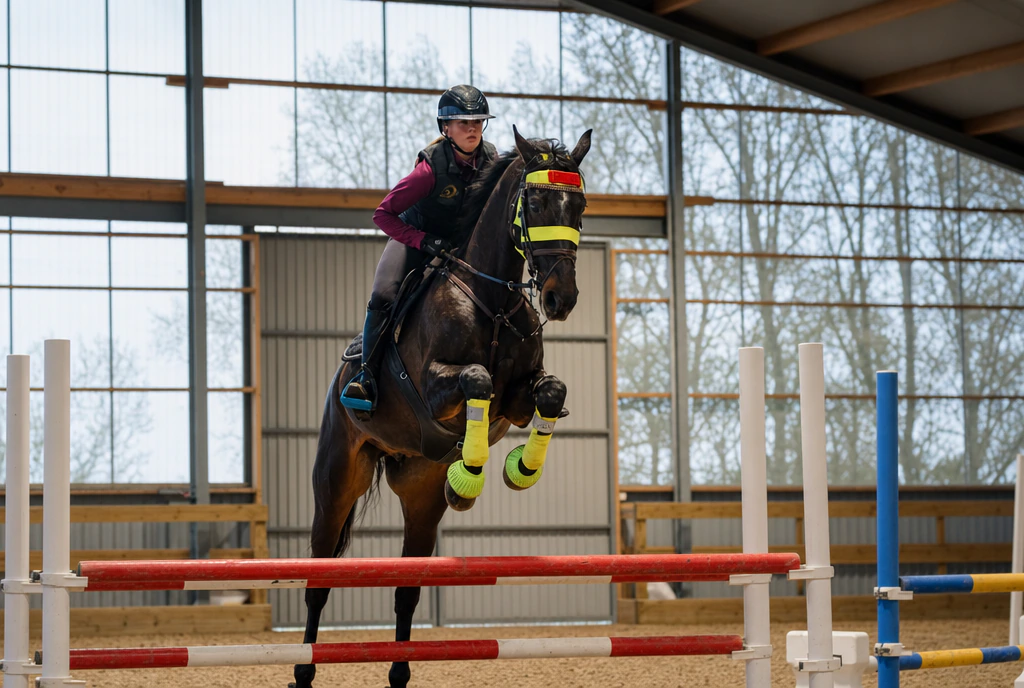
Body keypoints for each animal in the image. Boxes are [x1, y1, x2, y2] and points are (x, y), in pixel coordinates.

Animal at [290, 126, 592, 688]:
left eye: (579, 205)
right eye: (535, 202)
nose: (560, 299)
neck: (491, 300)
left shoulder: (518, 401)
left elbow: (550, 393)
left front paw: (517, 470)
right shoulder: (435, 387)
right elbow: (476, 379)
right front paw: (471, 466)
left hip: (420, 496)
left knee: (406, 590)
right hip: (337, 479)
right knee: (318, 580)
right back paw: (302, 669)